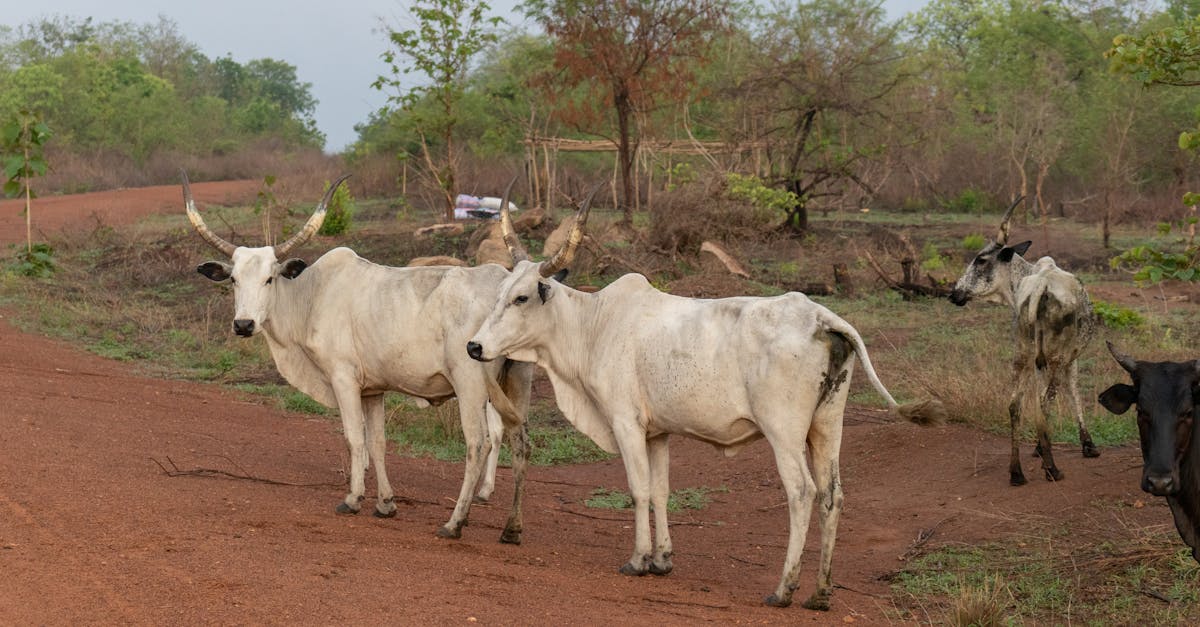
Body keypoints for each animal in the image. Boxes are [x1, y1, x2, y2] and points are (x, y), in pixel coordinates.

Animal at [184, 173, 583, 544]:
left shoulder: (343, 379)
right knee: (521, 441)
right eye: (233, 280)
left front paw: (353, 499)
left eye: (269, 278)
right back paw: (512, 528)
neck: (311, 295)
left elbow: (353, 437)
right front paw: (386, 503)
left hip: (471, 382)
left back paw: (455, 522)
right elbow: (377, 442)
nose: (243, 324)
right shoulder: (372, 390)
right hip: (519, 379)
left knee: (478, 442)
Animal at [465, 201, 944, 609]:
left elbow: (639, 489)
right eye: (500, 292)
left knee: (802, 492)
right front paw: (662, 559)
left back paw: (784, 588)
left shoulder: (625, 423)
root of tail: (819, 317)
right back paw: (821, 593)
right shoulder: (657, 432)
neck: (594, 324)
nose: (474, 346)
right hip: (827, 427)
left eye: (522, 297)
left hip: (784, 432)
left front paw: (638, 560)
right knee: (832, 495)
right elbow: (660, 490)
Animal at [948, 198, 1100, 486]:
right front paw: (1087, 445)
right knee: (1045, 401)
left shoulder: (1039, 361)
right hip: (1056, 356)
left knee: (1015, 405)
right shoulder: (1070, 358)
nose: (954, 293)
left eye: (981, 260)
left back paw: (1016, 472)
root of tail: (1040, 287)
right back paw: (1051, 468)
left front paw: (1041, 446)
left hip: (1023, 356)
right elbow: (1073, 392)